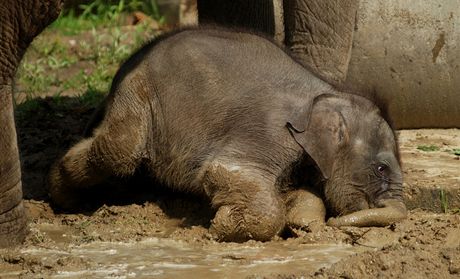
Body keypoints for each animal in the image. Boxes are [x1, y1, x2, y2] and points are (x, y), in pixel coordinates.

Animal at [49, 27, 406, 243]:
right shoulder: (267, 131)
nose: (336, 227)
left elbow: (297, 191)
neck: (328, 92)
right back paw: (63, 197)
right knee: (120, 150)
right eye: (381, 169)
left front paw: (305, 224)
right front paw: (220, 226)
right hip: (140, 93)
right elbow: (224, 171)